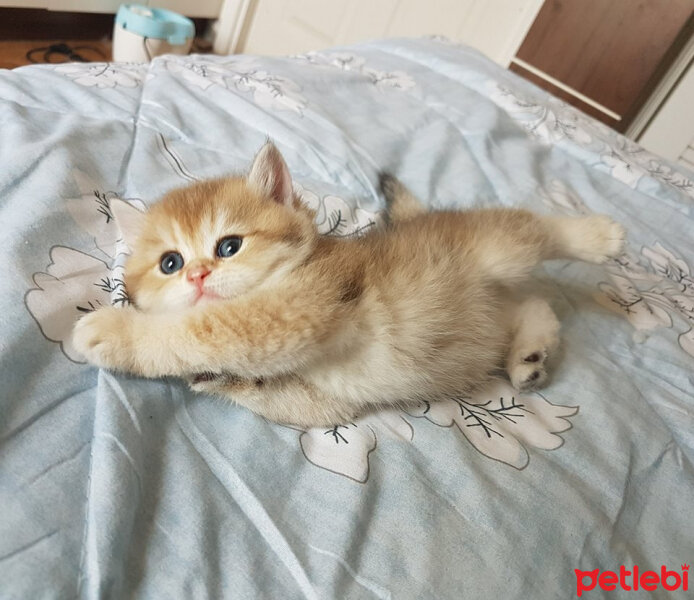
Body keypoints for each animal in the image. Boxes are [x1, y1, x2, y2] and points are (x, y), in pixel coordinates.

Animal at [73, 143, 628, 428]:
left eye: (229, 246)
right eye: (170, 262)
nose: (197, 275)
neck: (302, 261)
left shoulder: (301, 305)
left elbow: (204, 329)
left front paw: (116, 331)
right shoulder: (322, 401)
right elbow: (278, 398)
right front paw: (216, 377)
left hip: (498, 249)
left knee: (534, 232)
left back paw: (599, 235)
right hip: (492, 307)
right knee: (534, 303)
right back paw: (529, 356)